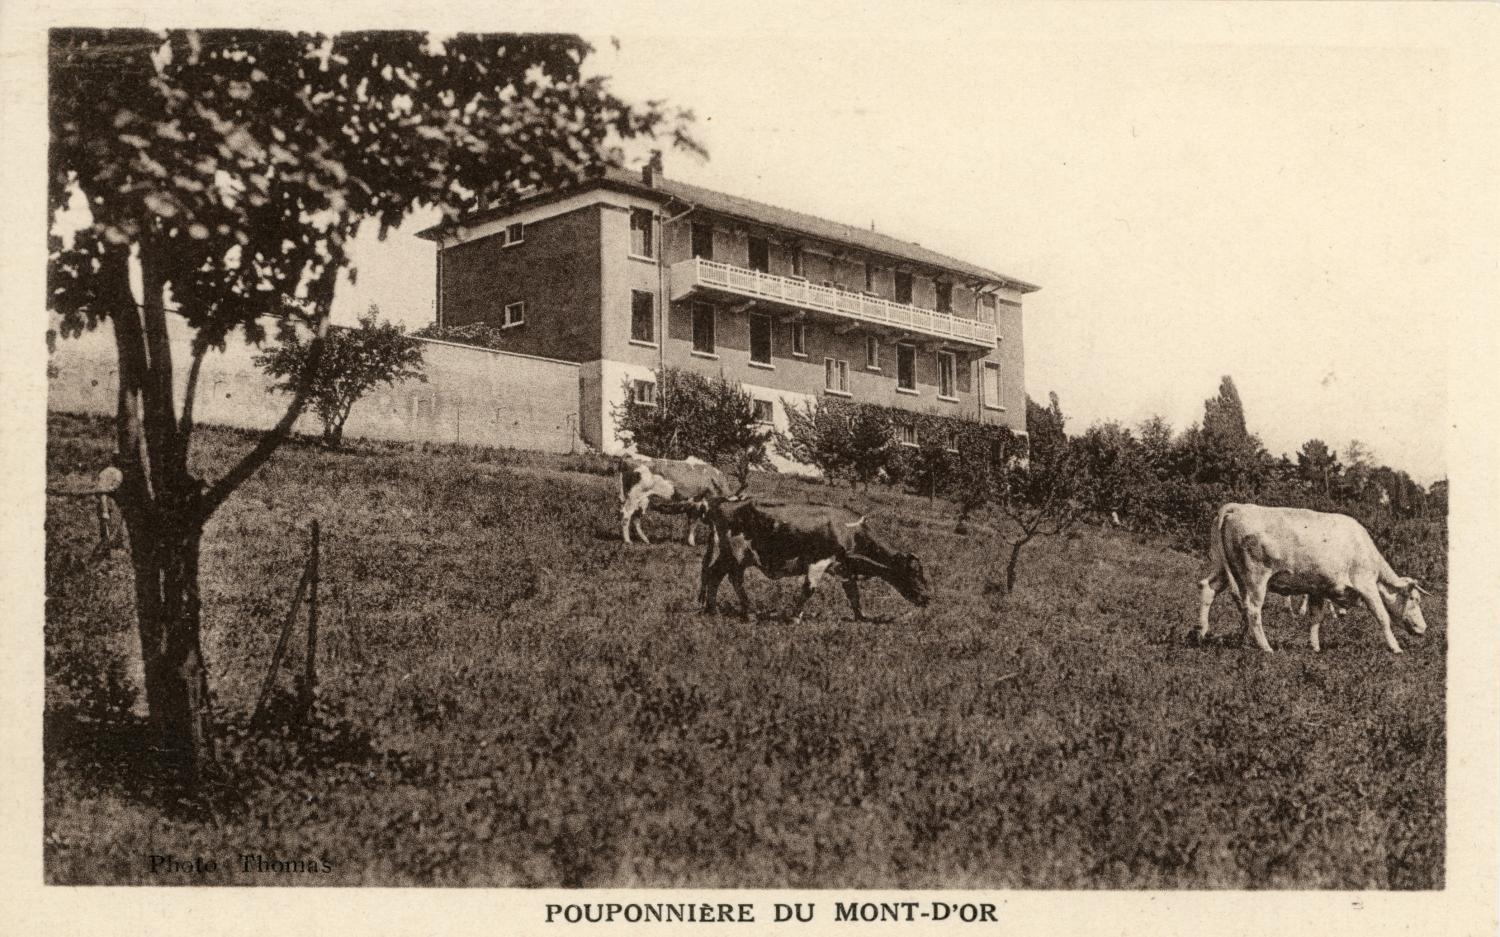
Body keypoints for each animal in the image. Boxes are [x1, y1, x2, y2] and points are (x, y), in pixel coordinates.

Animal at [699, 497, 924, 620]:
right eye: (912, 572)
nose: (927, 597)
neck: (848, 530)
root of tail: (721, 504)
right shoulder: (819, 561)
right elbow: (809, 589)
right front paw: (794, 617)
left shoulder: (844, 567)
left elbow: (853, 594)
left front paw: (861, 617)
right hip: (734, 555)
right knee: (723, 576)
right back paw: (726, 611)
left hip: (734, 557)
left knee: (719, 576)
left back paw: (722, 610)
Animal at [1194, 503, 1428, 650]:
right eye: (1414, 599)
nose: (1424, 628)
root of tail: (1237, 507)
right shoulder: (1366, 584)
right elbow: (1383, 617)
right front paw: (1395, 648)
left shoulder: (1319, 588)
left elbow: (1316, 617)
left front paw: (1314, 646)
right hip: (1255, 576)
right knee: (1252, 609)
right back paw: (1265, 647)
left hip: (1225, 569)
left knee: (1208, 588)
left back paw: (1202, 632)